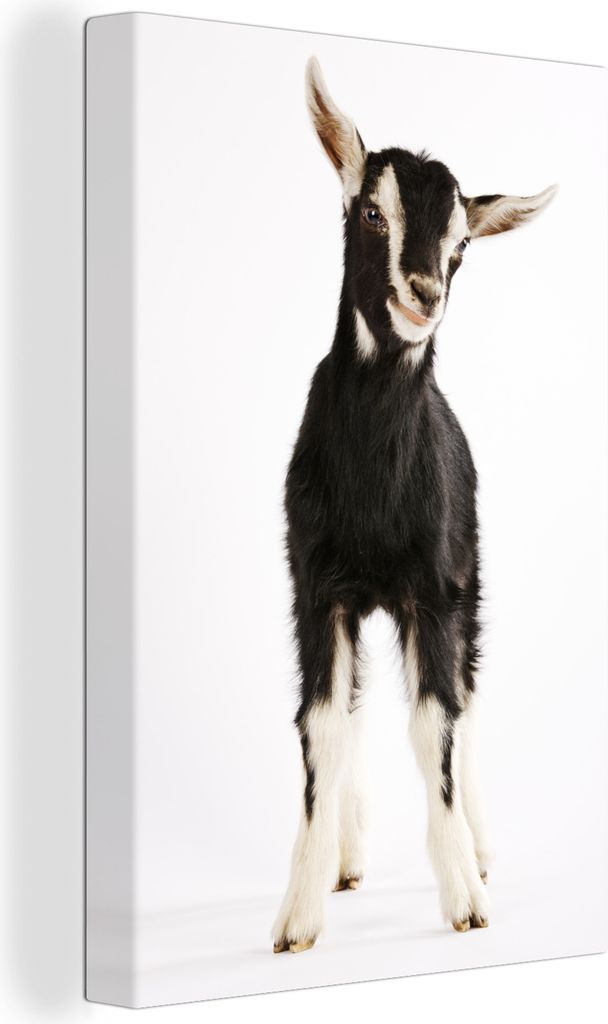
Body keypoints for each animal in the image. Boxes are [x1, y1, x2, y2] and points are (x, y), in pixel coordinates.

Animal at [272, 57, 556, 954]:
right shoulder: (314, 589)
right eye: (371, 211)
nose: (424, 293)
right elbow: (322, 725)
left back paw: (480, 843)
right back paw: (348, 853)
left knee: (464, 694)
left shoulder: (433, 589)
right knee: (357, 706)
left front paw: (466, 899)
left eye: (463, 242)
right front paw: (299, 915)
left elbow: (437, 724)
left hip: (470, 577)